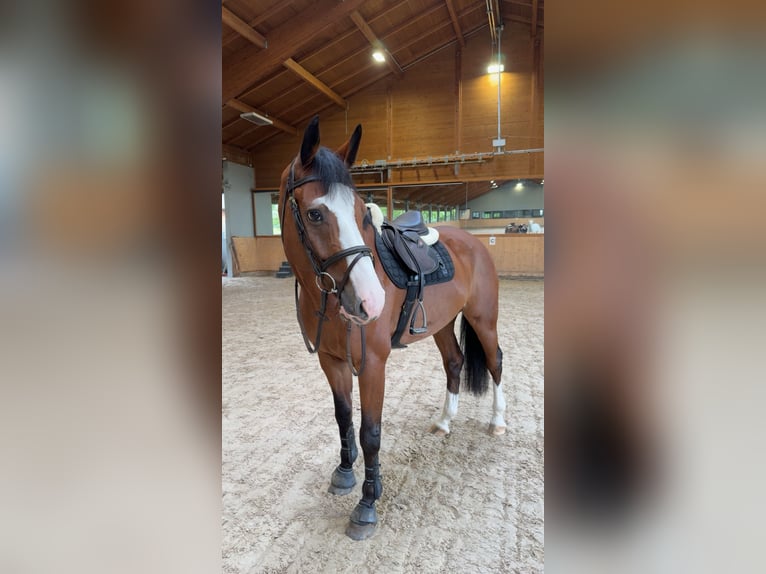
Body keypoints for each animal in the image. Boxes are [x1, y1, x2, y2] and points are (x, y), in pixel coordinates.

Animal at [278, 116, 507, 540]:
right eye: (315, 214)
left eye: (361, 214)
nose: (371, 302)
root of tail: (474, 242)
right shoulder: (331, 362)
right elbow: (343, 418)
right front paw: (344, 473)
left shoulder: (373, 364)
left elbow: (370, 432)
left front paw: (368, 504)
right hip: (442, 326)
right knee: (454, 363)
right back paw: (444, 422)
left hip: (484, 319)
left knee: (495, 361)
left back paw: (498, 422)